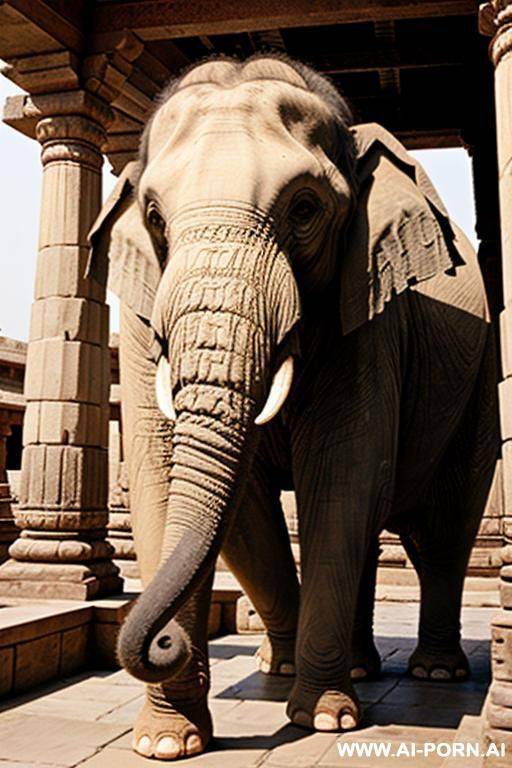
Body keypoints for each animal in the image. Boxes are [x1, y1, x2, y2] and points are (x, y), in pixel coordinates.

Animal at [88, 54, 499, 760]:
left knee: (441, 529)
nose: (166, 641)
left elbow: (340, 474)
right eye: (155, 217)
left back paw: (434, 673)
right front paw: (167, 744)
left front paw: (324, 721)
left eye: (305, 209)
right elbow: (185, 485)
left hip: (477, 386)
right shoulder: (141, 318)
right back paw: (319, 666)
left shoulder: (369, 311)